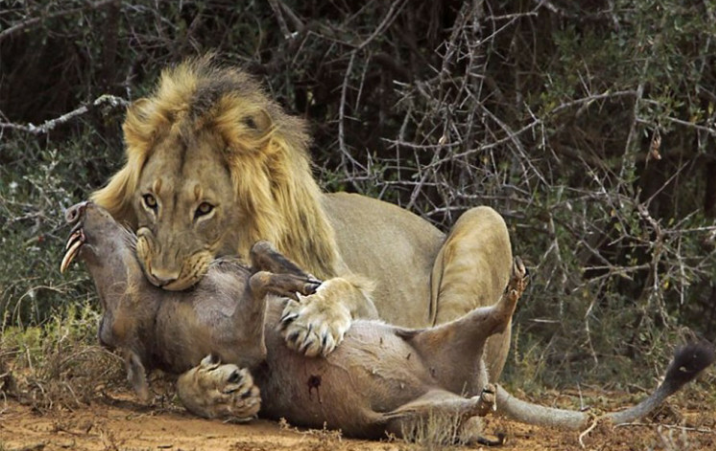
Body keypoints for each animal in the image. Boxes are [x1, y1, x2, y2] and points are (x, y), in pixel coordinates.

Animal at [61, 201, 716, 444]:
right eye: (103, 330)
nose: (79, 210)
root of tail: (473, 377)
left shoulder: (347, 293)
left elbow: (291, 268)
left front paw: (308, 304)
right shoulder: (233, 340)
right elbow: (196, 371)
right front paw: (222, 391)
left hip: (479, 233)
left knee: (486, 321)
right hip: (413, 418)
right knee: (460, 416)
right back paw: (479, 412)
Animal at [89, 57, 516, 378]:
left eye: (205, 209)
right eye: (150, 200)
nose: (161, 279)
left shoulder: (367, 304)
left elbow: (344, 288)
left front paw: (314, 321)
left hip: (486, 218)